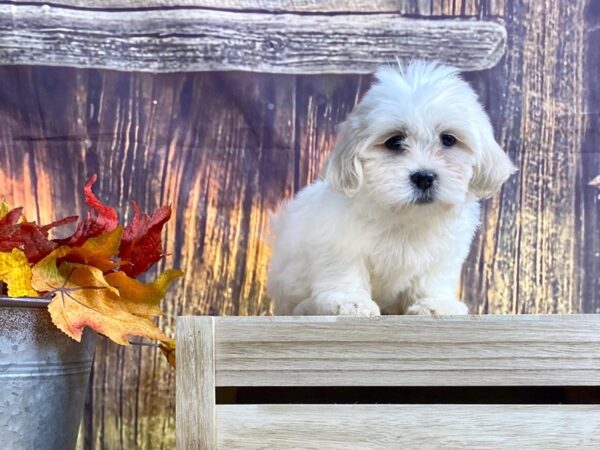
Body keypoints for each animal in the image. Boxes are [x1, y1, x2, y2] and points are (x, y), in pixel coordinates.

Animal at [268, 60, 516, 316]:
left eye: (448, 139)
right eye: (394, 142)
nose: (424, 177)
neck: (406, 217)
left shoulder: (444, 253)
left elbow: (432, 279)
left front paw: (434, 303)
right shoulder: (337, 241)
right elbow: (345, 270)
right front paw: (351, 302)